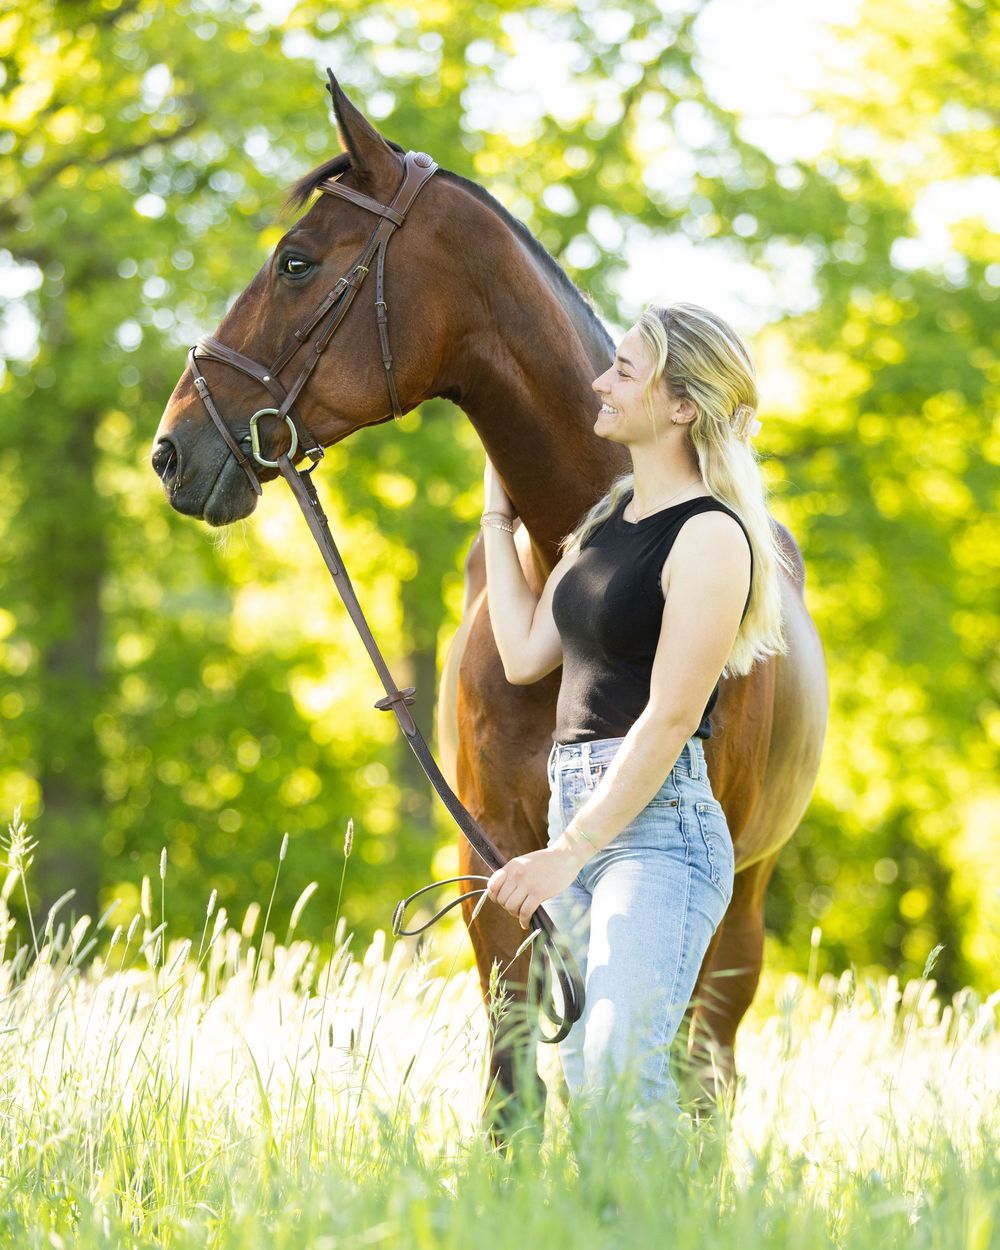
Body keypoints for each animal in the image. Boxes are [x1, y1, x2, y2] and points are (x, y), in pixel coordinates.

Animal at [152, 75, 828, 1135]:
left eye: (296, 263)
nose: (172, 449)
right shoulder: (492, 878)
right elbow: (514, 1091)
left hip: (744, 905)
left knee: (705, 1080)